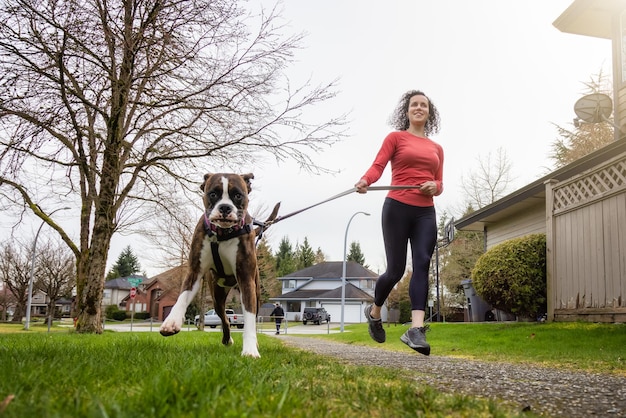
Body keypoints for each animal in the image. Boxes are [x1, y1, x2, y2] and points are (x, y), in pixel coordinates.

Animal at [160, 171, 276, 358]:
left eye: (237, 195)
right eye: (213, 194)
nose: (225, 207)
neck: (222, 234)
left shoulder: (246, 280)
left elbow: (249, 318)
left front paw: (250, 350)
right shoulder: (195, 270)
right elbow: (182, 296)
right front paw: (171, 321)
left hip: (255, 292)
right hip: (217, 297)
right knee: (225, 319)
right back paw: (227, 339)